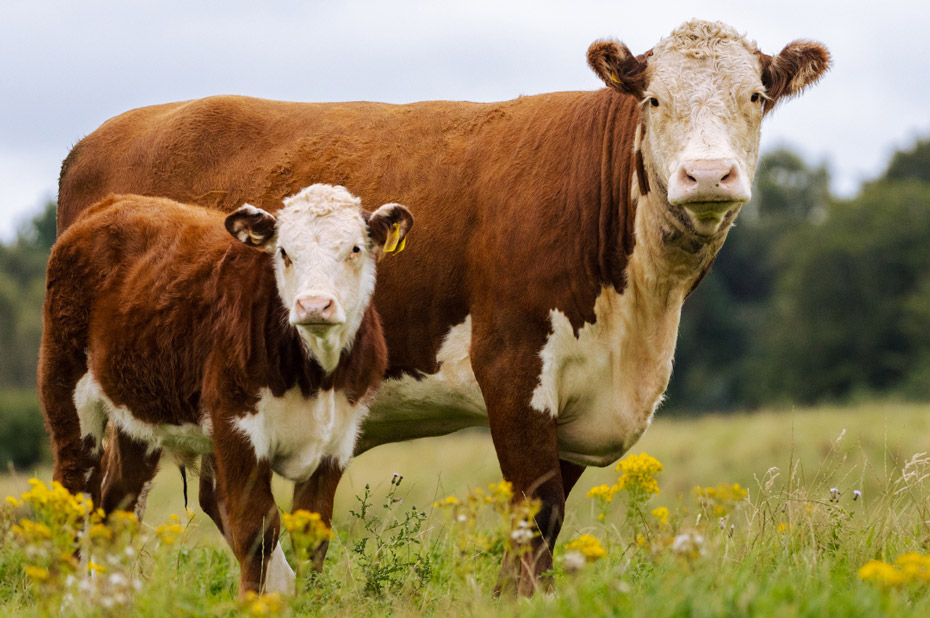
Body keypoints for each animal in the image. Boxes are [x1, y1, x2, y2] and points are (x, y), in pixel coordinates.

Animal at [38, 184, 413, 595]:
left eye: (355, 249)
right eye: (284, 252)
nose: (314, 305)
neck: (316, 375)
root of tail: (114, 203)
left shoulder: (337, 440)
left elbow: (312, 536)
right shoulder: (236, 427)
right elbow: (256, 530)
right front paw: (253, 602)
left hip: (136, 416)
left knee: (116, 508)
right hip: (67, 391)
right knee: (72, 495)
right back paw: (61, 597)